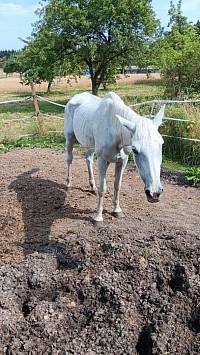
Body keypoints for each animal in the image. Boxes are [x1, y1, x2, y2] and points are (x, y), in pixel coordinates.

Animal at [63, 92, 164, 225]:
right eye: (135, 150)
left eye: (161, 144)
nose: (154, 193)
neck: (114, 129)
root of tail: (74, 97)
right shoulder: (102, 160)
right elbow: (102, 188)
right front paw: (98, 217)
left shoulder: (122, 161)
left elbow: (117, 185)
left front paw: (117, 210)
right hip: (69, 138)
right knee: (69, 159)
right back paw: (69, 184)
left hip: (90, 144)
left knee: (88, 159)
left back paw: (92, 187)